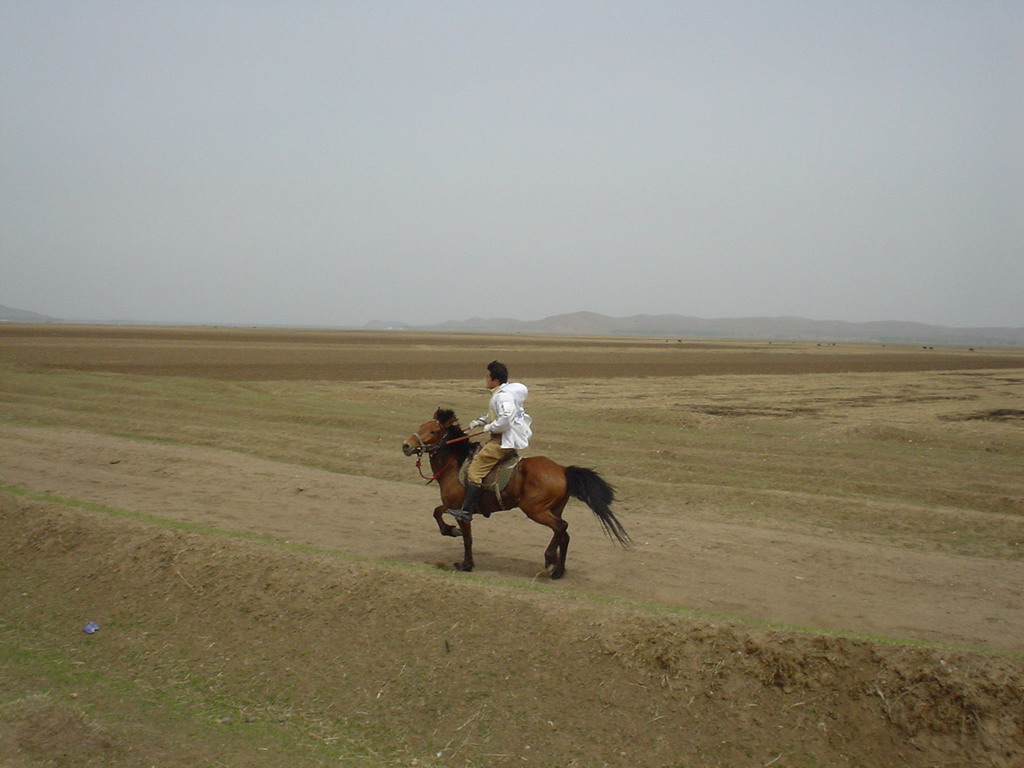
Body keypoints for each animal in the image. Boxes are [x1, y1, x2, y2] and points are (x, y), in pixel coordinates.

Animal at [401, 409, 626, 577]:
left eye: (432, 431)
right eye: (421, 427)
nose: (406, 445)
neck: (455, 465)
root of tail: (562, 469)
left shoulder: (460, 510)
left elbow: (466, 538)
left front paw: (465, 563)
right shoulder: (451, 506)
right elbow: (437, 512)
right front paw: (450, 531)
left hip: (535, 510)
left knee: (561, 527)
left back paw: (549, 559)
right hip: (553, 509)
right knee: (564, 535)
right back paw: (558, 570)